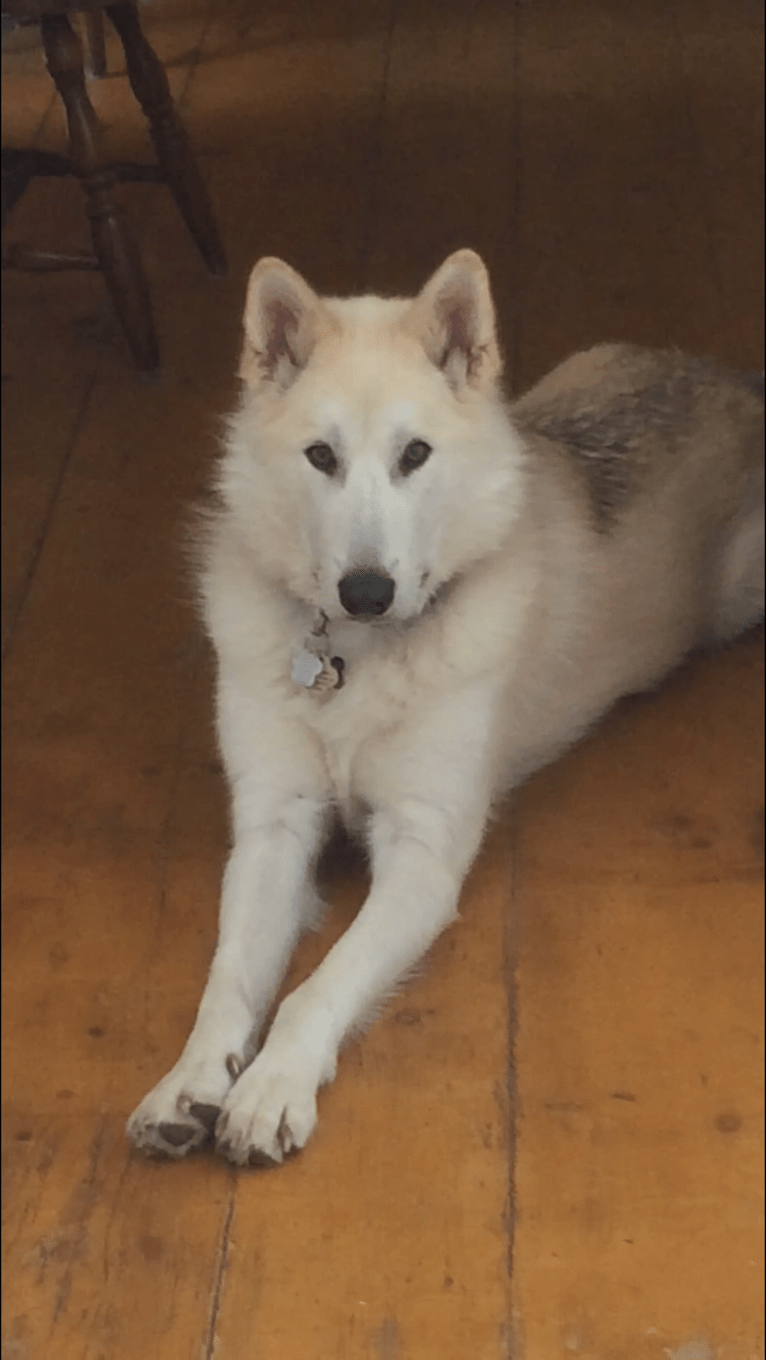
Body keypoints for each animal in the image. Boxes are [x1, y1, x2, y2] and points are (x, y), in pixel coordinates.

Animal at [124, 250, 761, 1164]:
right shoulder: (272, 826)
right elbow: (230, 979)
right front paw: (190, 1082)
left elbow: (318, 985)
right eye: (320, 456)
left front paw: (273, 1085)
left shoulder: (423, 854)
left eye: (415, 454)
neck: (354, 663)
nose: (366, 592)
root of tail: (731, 379)